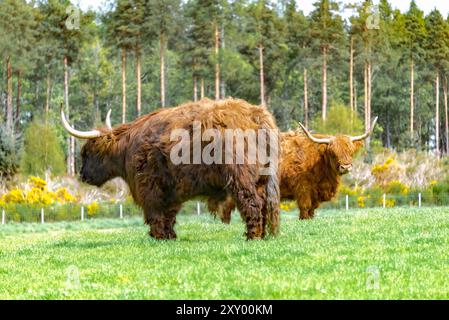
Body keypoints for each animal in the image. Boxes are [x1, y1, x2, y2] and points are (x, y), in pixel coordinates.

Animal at [61, 99, 278, 239]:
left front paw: (158, 237)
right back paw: (263, 235)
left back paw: (252, 236)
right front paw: (170, 236)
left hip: (241, 177)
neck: (126, 148)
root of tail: (255, 114)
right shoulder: (172, 188)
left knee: (253, 203)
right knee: (263, 205)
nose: (82, 175)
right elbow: (169, 214)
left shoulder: (149, 186)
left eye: (87, 153)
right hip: (261, 179)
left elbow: (155, 213)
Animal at [208, 118, 376, 222]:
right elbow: (305, 208)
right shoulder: (303, 189)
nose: (346, 166)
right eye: (333, 152)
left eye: (350, 151)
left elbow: (312, 210)